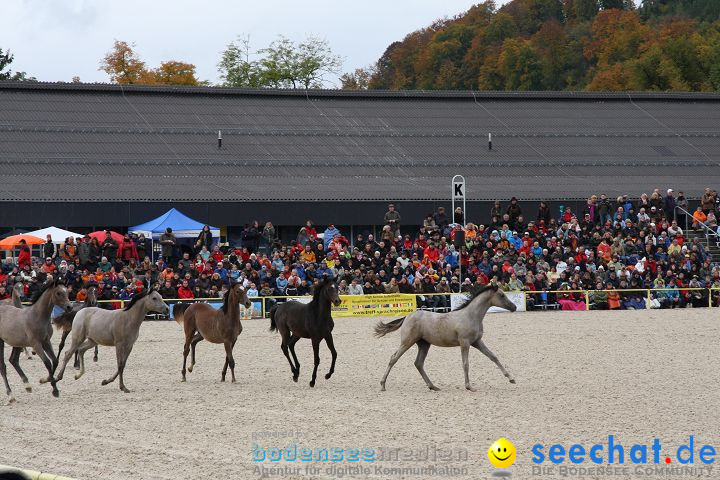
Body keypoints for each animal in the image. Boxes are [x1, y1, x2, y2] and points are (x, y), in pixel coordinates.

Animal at [376, 284, 516, 392]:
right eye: (502, 295)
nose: (514, 307)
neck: (470, 316)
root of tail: (407, 316)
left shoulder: (476, 342)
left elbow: (493, 356)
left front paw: (511, 379)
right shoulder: (465, 343)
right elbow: (466, 363)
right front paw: (469, 386)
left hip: (424, 344)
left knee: (418, 363)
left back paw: (433, 386)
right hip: (407, 342)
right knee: (393, 358)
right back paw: (382, 385)